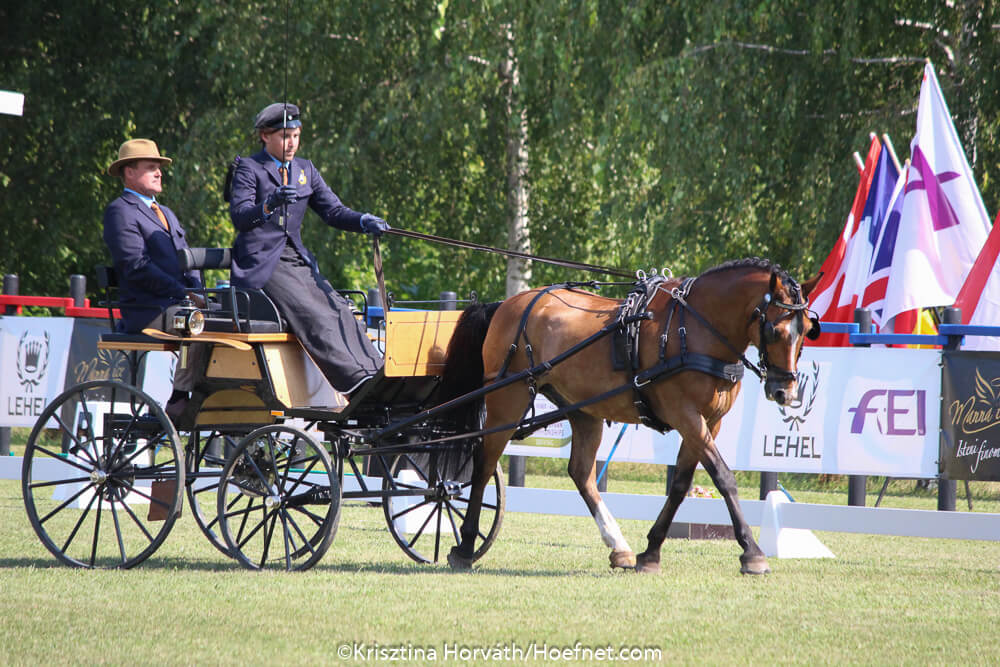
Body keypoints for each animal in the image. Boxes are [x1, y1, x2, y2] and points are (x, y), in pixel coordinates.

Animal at [439, 257, 819, 575]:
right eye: (775, 330)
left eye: (805, 332)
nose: (785, 393)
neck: (694, 329)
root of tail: (508, 304)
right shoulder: (686, 415)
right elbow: (724, 477)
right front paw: (752, 553)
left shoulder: (709, 422)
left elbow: (681, 485)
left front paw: (650, 553)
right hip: (508, 397)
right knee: (485, 462)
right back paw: (466, 545)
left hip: (583, 410)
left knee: (581, 474)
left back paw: (618, 547)